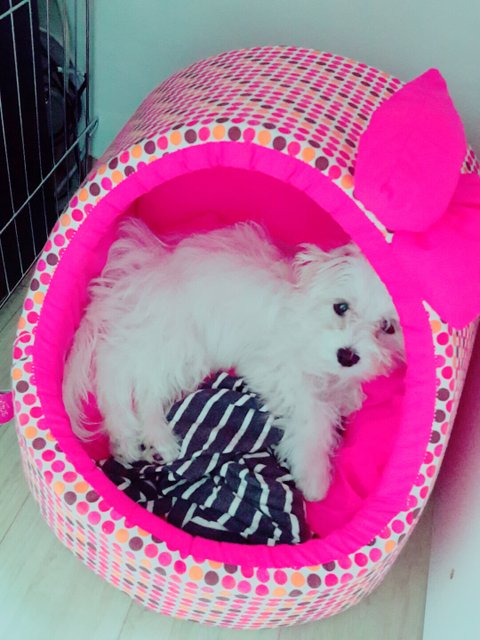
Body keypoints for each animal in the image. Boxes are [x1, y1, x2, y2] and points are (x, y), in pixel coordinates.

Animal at [63, 218, 404, 501]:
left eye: (388, 328)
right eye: (341, 307)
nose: (347, 355)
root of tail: (136, 270)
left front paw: (349, 396)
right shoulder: (281, 372)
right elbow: (316, 418)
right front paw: (315, 479)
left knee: (132, 383)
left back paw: (143, 441)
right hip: (177, 344)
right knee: (122, 376)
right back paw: (139, 438)